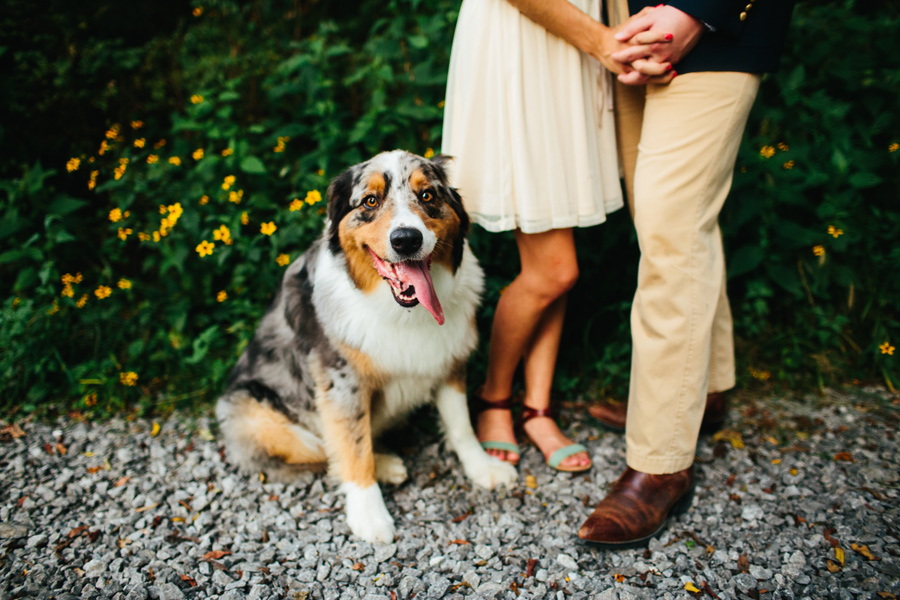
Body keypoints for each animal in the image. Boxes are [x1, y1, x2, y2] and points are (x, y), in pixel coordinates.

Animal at [214, 150, 516, 544]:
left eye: (428, 195)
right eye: (370, 201)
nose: (406, 239)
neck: (403, 311)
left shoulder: (448, 359)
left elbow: (461, 424)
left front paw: (483, 467)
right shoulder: (342, 381)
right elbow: (354, 449)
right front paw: (370, 516)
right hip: (253, 413)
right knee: (322, 449)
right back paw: (384, 465)